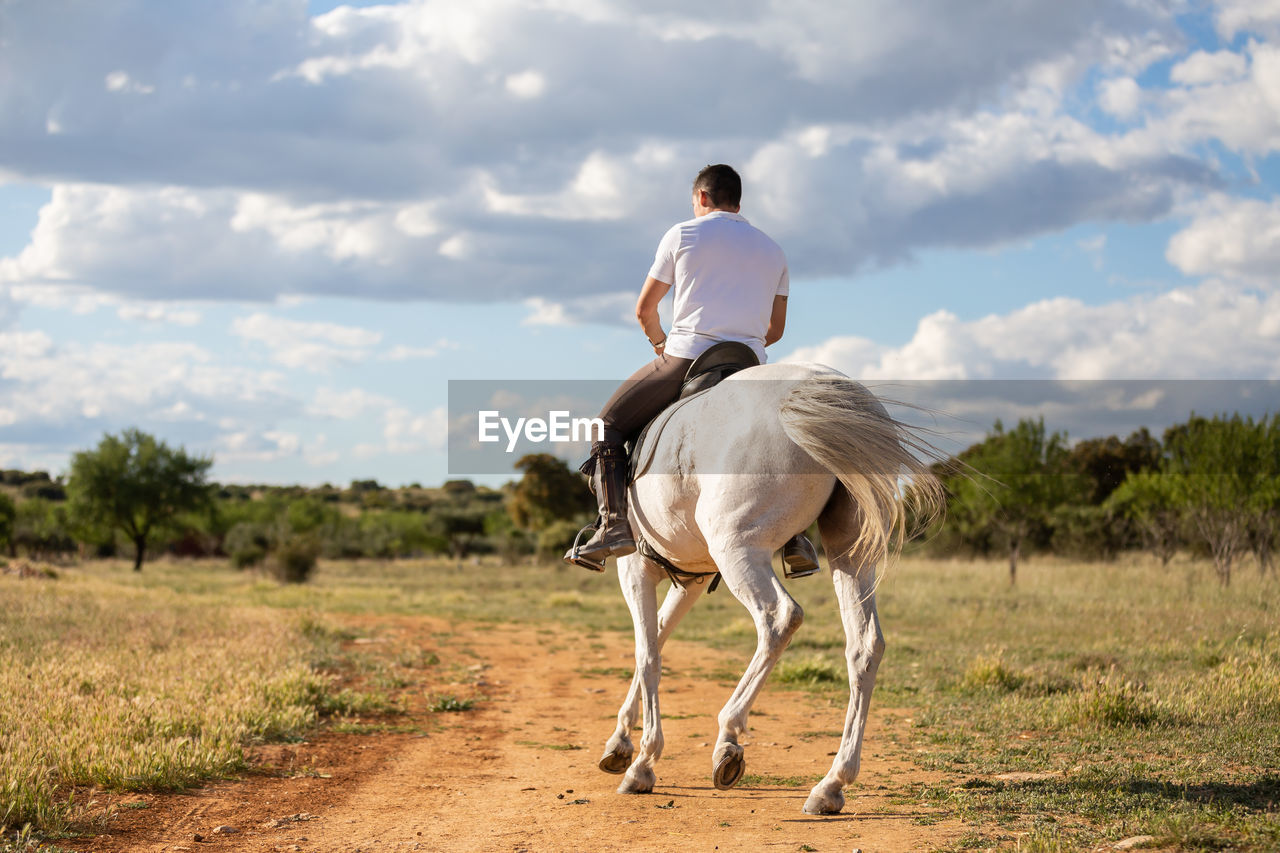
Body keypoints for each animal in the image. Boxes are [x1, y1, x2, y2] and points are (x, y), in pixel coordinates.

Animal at [596, 358, 942, 809]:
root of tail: (817, 388)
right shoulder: (691, 579)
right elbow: (657, 637)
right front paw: (621, 742)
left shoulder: (635, 567)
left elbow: (647, 653)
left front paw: (643, 761)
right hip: (850, 552)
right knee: (865, 645)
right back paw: (831, 784)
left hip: (738, 549)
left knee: (779, 619)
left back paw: (728, 739)